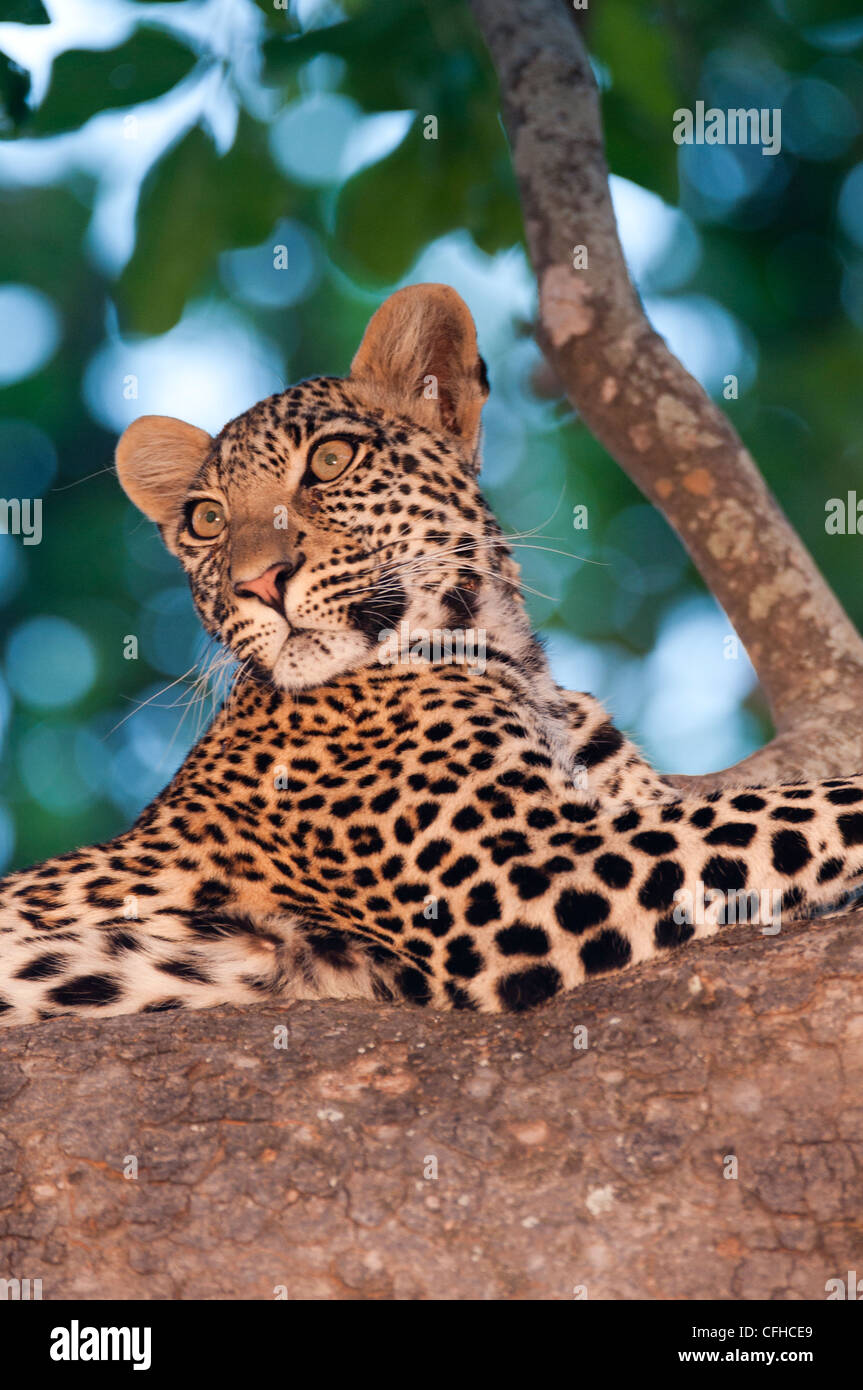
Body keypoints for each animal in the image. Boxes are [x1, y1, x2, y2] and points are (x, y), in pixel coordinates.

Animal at [1, 282, 862, 1027]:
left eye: (330, 461)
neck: (505, 652)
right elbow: (804, 806)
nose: (257, 582)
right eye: (207, 521)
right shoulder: (533, 870)